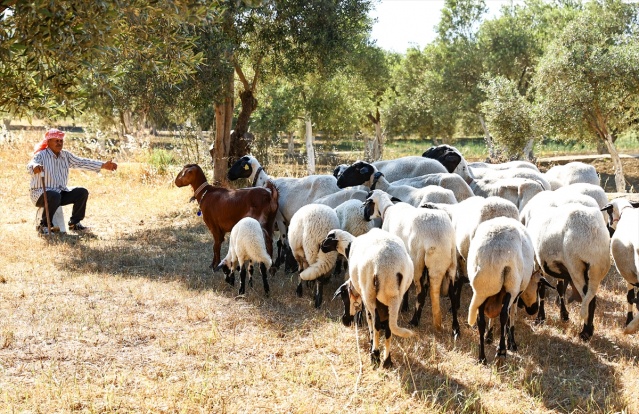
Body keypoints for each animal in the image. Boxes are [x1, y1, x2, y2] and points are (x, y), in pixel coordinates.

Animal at [322, 228, 418, 368]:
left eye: (344, 297)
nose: (345, 321)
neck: (350, 246)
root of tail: (390, 268)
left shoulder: (365, 297)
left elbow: (370, 322)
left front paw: (371, 346)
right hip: (396, 297)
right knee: (389, 326)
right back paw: (387, 361)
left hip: (370, 294)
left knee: (376, 323)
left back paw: (375, 356)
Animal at [362, 191, 458, 336]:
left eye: (368, 202)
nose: (364, 216)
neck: (387, 209)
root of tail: (438, 239)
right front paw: (405, 306)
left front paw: (404, 306)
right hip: (451, 261)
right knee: (452, 293)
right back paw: (456, 328)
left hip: (417, 261)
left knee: (422, 291)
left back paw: (414, 321)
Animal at [464, 217, 552, 362]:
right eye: (539, 286)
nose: (533, 309)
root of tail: (495, 251)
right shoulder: (516, 293)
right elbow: (511, 314)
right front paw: (510, 342)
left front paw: (489, 336)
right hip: (512, 283)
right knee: (504, 314)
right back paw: (501, 351)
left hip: (483, 288)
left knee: (480, 321)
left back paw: (482, 357)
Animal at [600, 197, 639, 334]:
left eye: (609, 212)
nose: (607, 230)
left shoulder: (629, 274)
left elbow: (630, 297)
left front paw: (629, 321)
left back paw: (630, 327)